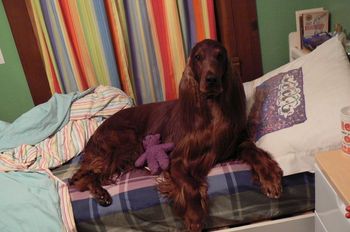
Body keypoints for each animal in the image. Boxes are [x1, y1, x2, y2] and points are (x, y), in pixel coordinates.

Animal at [70, 39, 282, 231]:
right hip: (126, 143)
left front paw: (270, 178)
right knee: (79, 176)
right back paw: (100, 192)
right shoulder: (177, 159)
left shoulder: (235, 144)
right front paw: (195, 217)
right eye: (198, 57)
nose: (211, 79)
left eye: (220, 56)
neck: (212, 111)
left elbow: (255, 152)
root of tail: (96, 131)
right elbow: (190, 186)